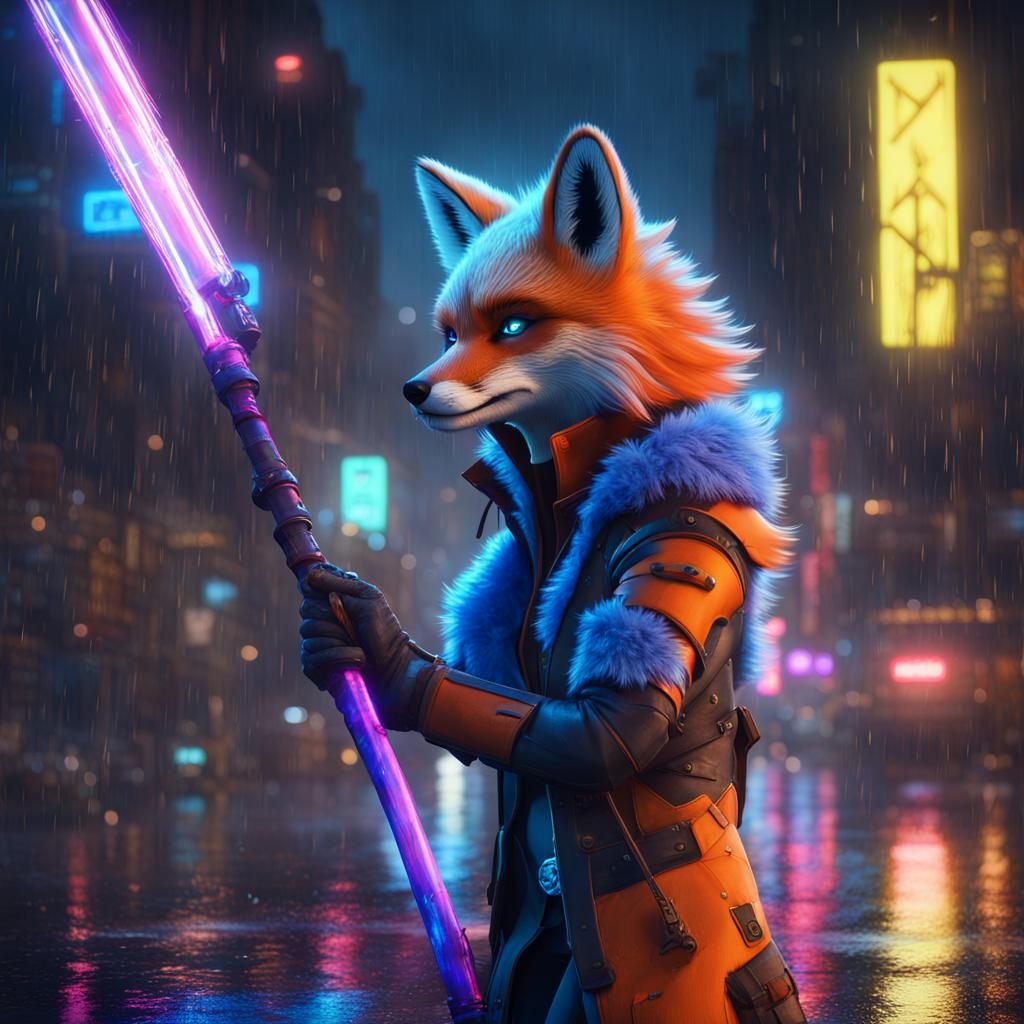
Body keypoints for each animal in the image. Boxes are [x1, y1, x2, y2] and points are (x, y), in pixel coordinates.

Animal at [301, 126, 805, 1024]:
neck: (571, 489)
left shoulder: (677, 534)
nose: (414, 389)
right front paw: (351, 633)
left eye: (513, 323)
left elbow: (601, 732)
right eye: (448, 331)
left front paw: (389, 665)